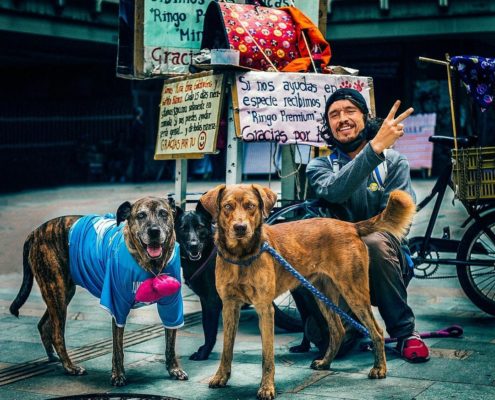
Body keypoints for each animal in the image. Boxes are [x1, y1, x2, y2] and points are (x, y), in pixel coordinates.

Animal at [9, 196, 188, 384]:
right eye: (141, 215)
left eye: (163, 213)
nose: (154, 231)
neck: (151, 265)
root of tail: (35, 232)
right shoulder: (117, 305)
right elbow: (118, 348)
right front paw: (118, 374)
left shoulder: (172, 305)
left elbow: (170, 342)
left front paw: (174, 369)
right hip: (56, 290)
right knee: (57, 334)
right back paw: (70, 367)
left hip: (61, 293)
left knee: (44, 324)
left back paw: (53, 358)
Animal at [174, 202, 221, 360]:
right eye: (183, 228)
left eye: (200, 227)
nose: (193, 245)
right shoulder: (205, 300)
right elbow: (206, 326)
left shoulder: (213, 300)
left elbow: (211, 330)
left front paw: (204, 353)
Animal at [200, 184, 416, 400]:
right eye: (227, 206)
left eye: (251, 206)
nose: (240, 228)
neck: (241, 257)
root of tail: (351, 226)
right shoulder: (229, 306)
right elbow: (226, 349)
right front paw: (221, 377)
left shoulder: (265, 309)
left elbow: (267, 356)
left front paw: (267, 387)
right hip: (323, 295)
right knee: (338, 330)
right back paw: (325, 362)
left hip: (354, 291)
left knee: (376, 331)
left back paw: (379, 368)